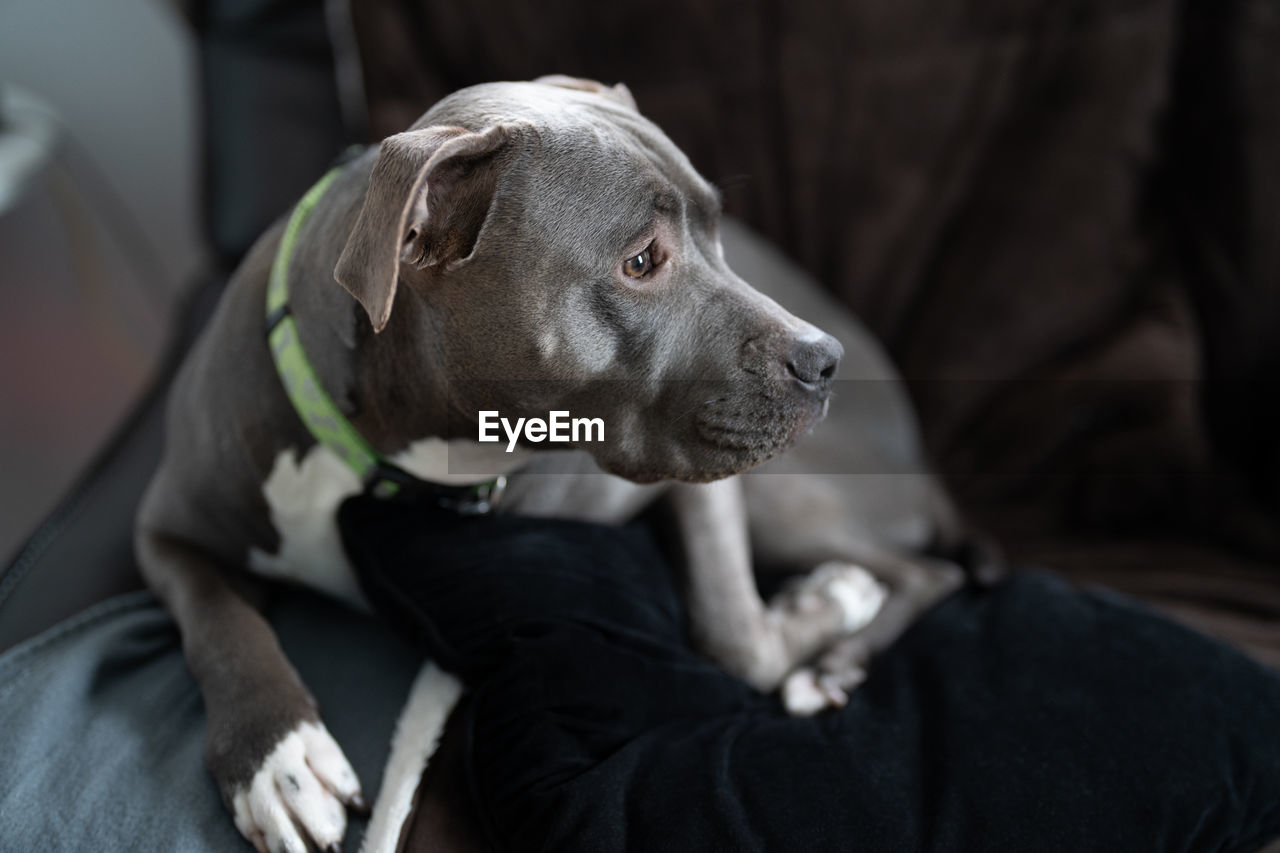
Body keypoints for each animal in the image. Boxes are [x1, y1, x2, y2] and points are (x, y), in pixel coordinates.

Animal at [135, 76, 962, 845]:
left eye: (719, 227)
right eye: (641, 261)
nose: (826, 360)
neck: (394, 453)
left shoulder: (695, 482)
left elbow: (733, 630)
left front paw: (827, 600)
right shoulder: (163, 530)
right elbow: (219, 622)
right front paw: (276, 757)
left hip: (781, 493)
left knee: (928, 572)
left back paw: (836, 650)